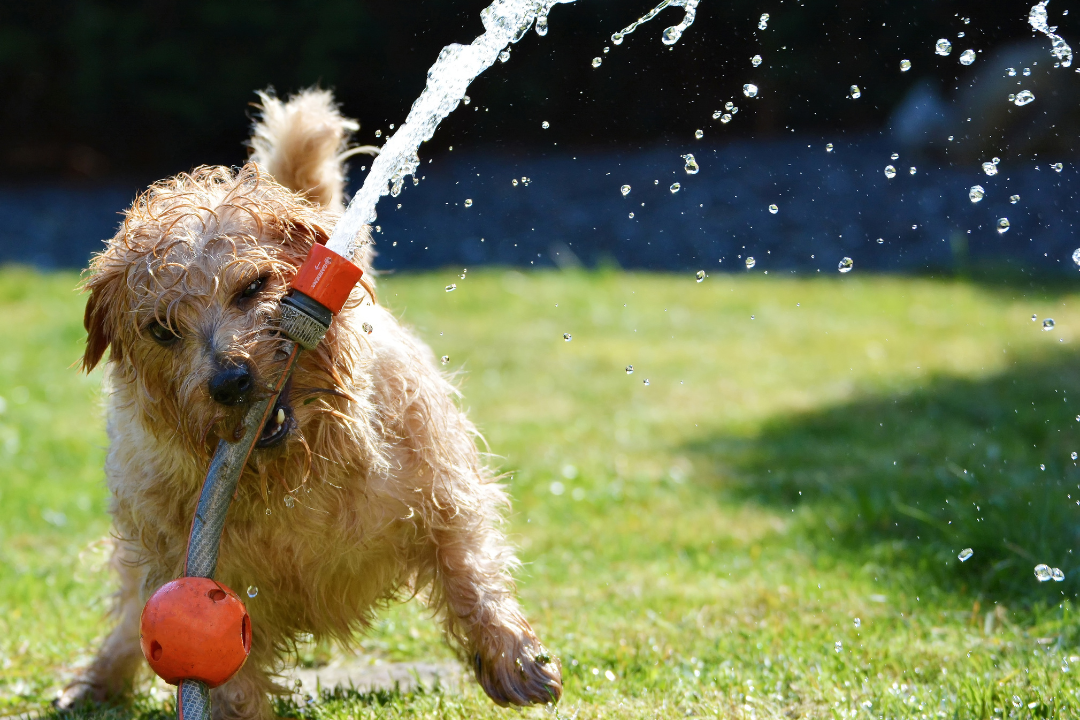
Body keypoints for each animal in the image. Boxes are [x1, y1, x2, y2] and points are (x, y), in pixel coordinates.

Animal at [56, 87, 565, 716]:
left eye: (253, 286)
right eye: (161, 330)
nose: (230, 381)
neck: (297, 473)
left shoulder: (443, 493)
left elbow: (469, 571)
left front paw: (514, 658)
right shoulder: (197, 571)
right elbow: (227, 674)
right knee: (131, 615)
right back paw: (96, 680)